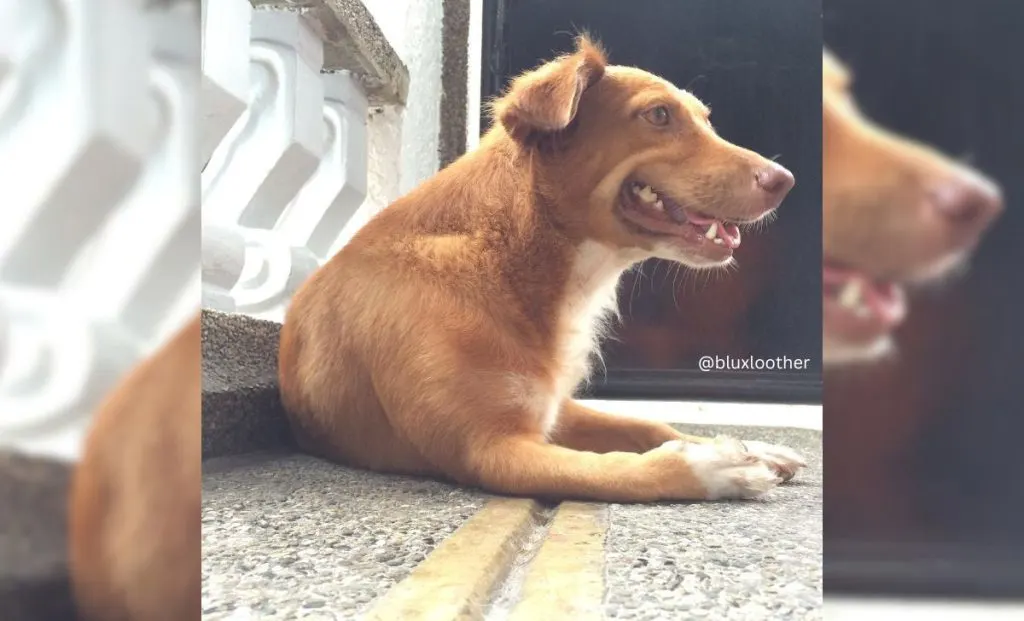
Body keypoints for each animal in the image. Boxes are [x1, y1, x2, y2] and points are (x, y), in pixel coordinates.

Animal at [280, 35, 806, 506]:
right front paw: (716, 465)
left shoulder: (553, 408)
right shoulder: (491, 448)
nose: (785, 181)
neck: (508, 258)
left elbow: (645, 424)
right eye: (658, 115)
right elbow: (618, 470)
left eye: (706, 120)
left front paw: (751, 447)